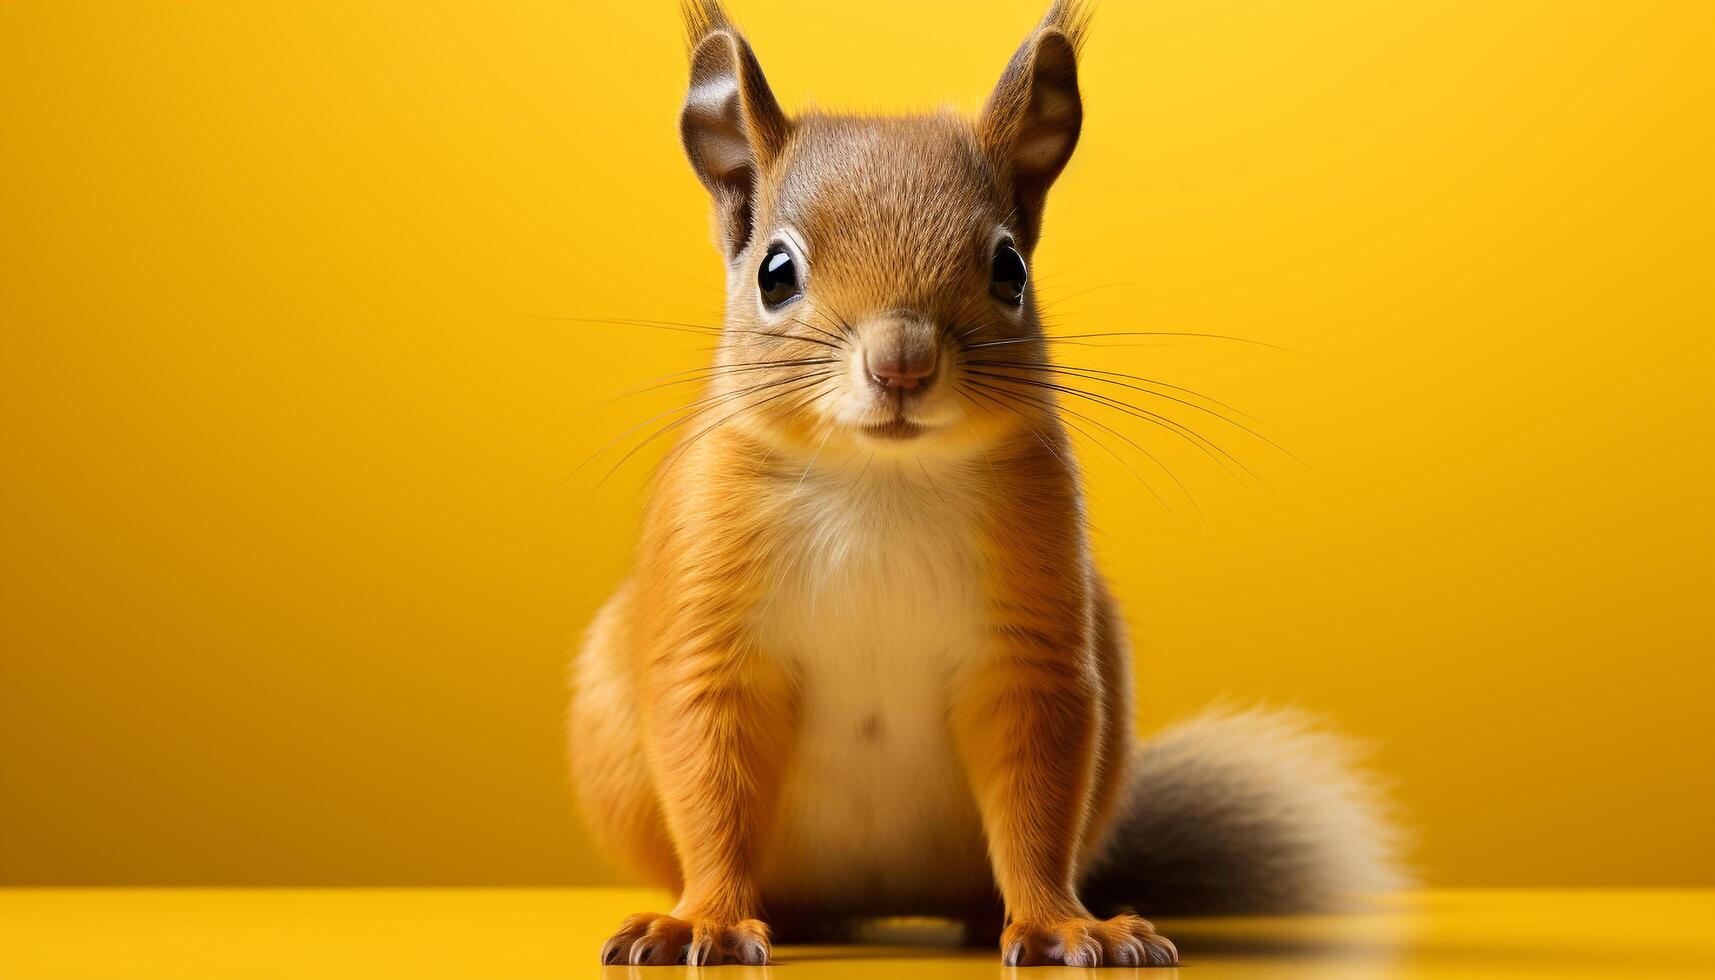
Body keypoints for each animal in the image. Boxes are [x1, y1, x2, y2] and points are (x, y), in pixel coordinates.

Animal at [569, 0, 1399, 967]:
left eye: (1010, 269)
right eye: (775, 273)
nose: (901, 364)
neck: (880, 482)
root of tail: (885, 905)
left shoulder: (1029, 641)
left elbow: (1034, 801)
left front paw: (1064, 925)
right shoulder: (711, 631)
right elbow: (708, 784)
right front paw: (701, 918)